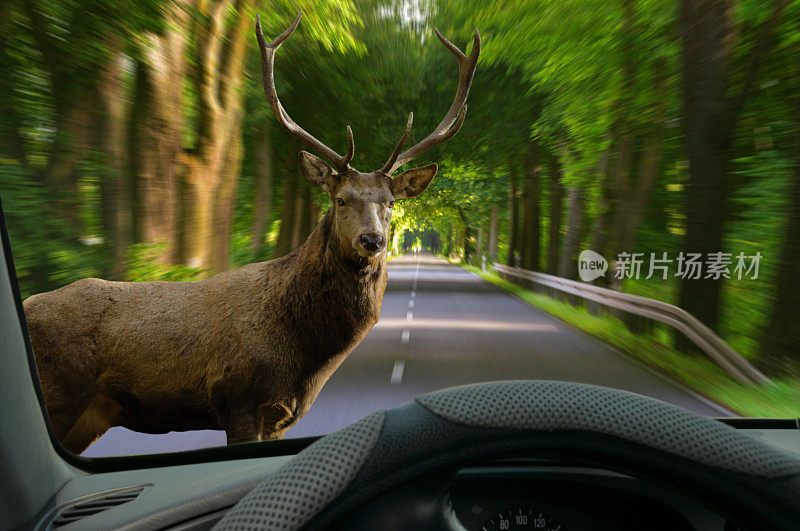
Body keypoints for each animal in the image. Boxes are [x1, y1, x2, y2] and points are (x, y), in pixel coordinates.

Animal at [21, 12, 478, 454]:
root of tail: (26, 306)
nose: (373, 241)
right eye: (340, 199)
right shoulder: (237, 397)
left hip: (89, 416)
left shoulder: (279, 416)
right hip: (59, 396)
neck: (303, 360)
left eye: (391, 203)